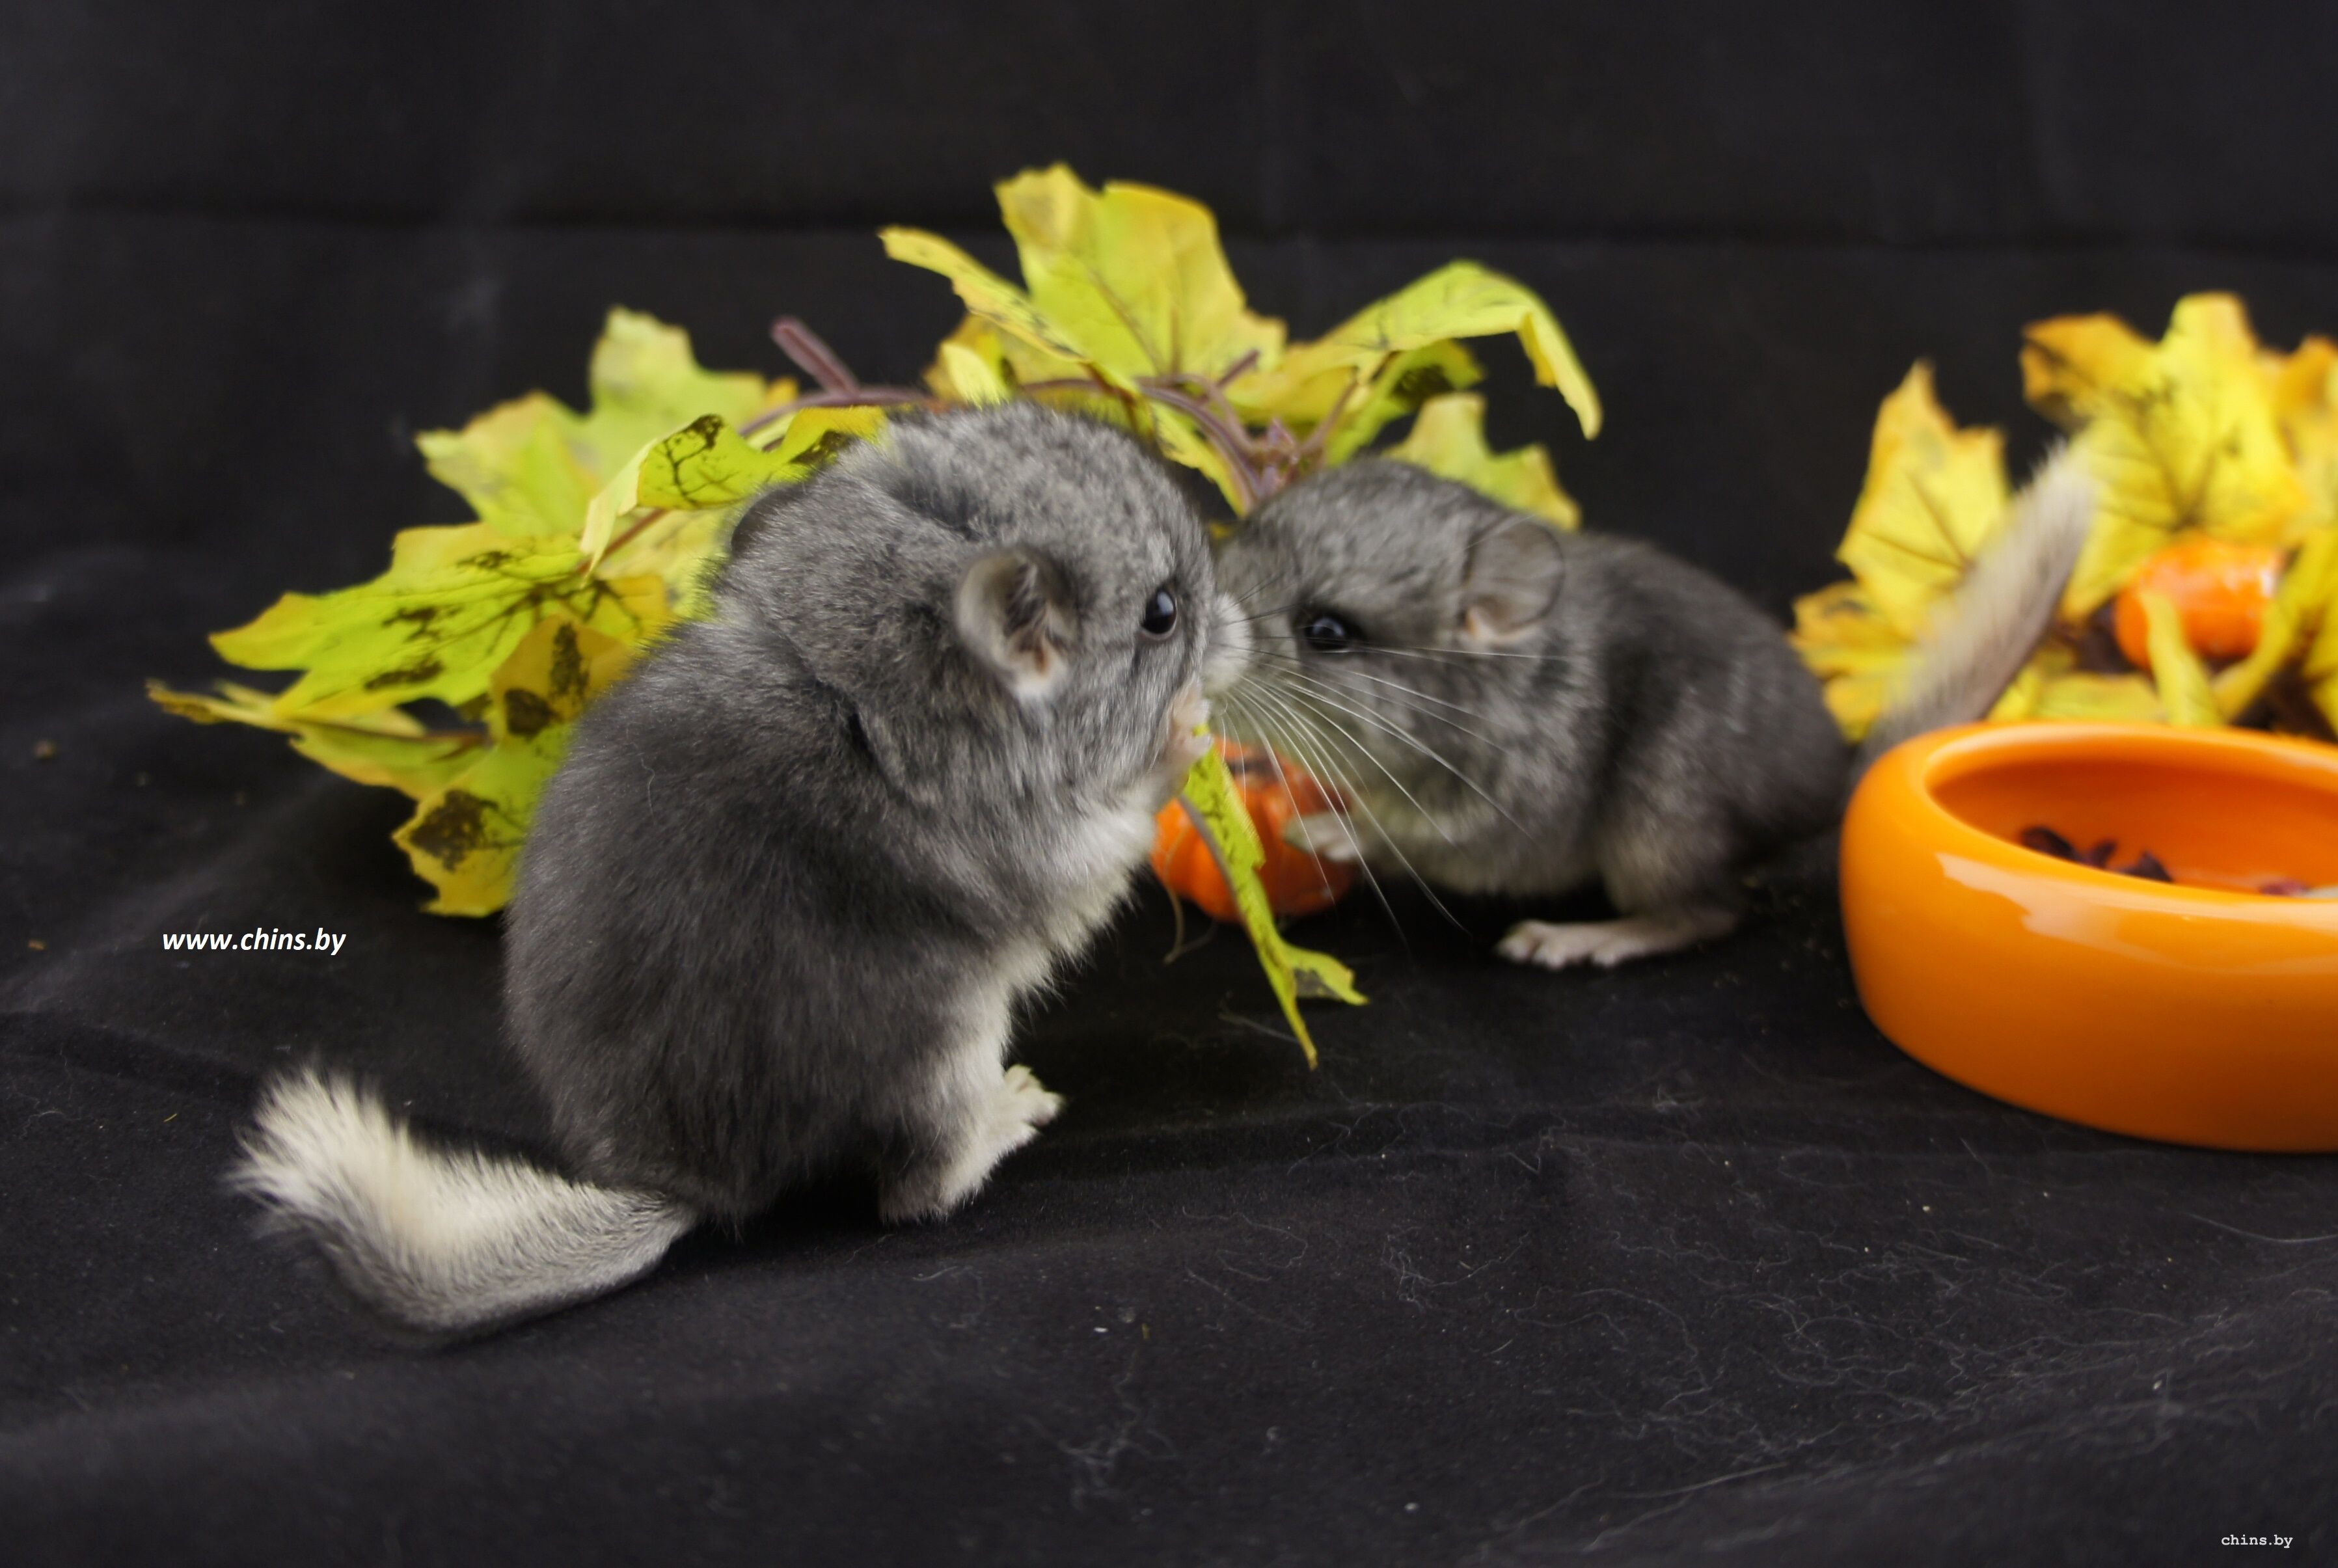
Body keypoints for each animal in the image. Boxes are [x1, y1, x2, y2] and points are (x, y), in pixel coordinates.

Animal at [231, 402, 1251, 1337]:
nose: (1245, 625)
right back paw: (1016, 1107)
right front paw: (1186, 728)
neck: (847, 679)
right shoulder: (1050, 849)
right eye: (1162, 613)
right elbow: (1119, 826)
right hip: (946, 1047)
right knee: (918, 1192)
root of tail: (679, 1180)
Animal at [1209, 450, 2091, 969]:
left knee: (1710, 912)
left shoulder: (1503, 812)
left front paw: (1320, 828)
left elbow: (1404, 828)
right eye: (1237, 538)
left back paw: (1572, 939)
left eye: (1327, 631)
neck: (1491, 689)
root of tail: (1822, 795)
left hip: (1656, 828)